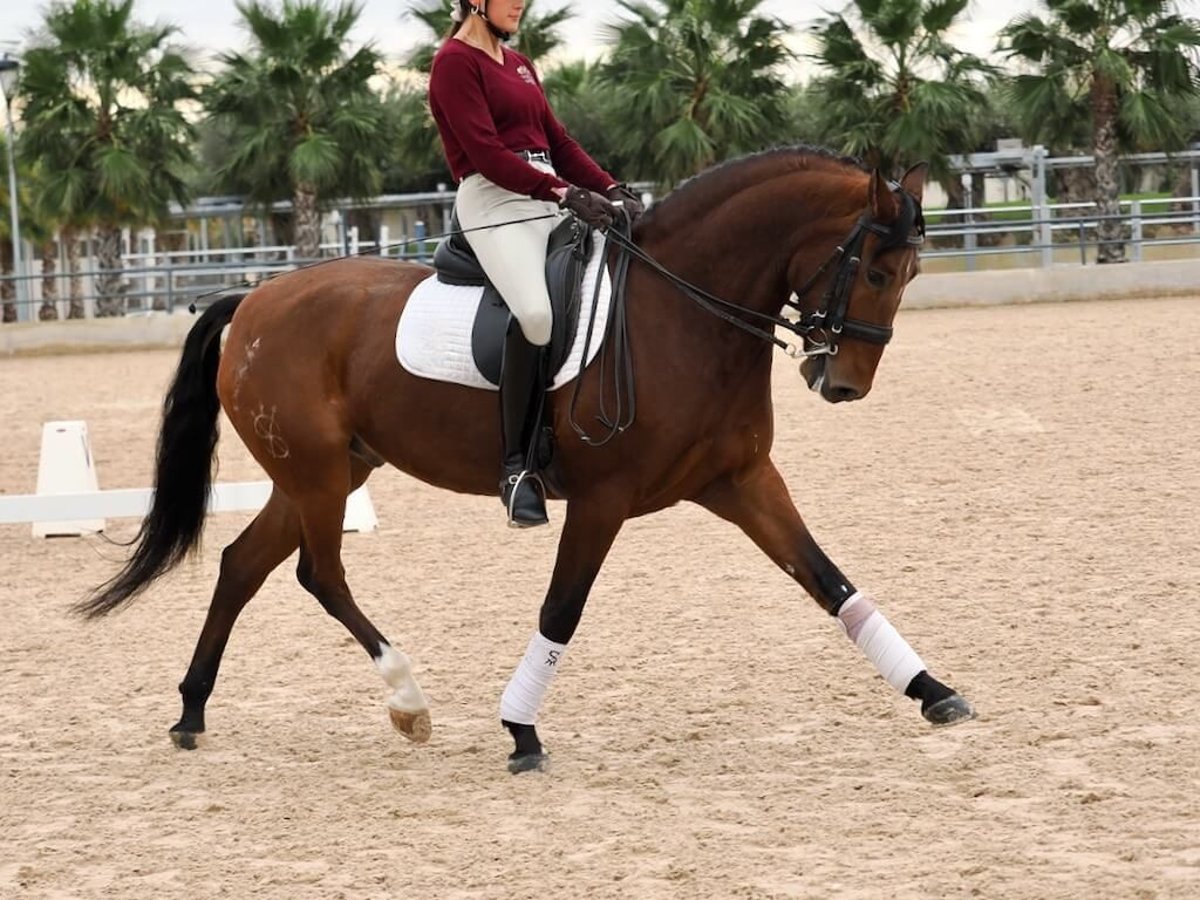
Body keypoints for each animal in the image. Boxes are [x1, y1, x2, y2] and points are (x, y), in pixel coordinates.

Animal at [77, 148, 974, 777]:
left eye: (911, 272)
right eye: (876, 268)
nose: (843, 383)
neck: (682, 312)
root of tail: (255, 299)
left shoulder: (742, 482)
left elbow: (831, 583)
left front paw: (933, 692)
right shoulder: (604, 500)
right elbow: (561, 610)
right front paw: (521, 729)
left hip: (323, 473)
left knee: (242, 564)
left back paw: (192, 713)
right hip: (319, 475)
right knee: (317, 573)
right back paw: (408, 702)